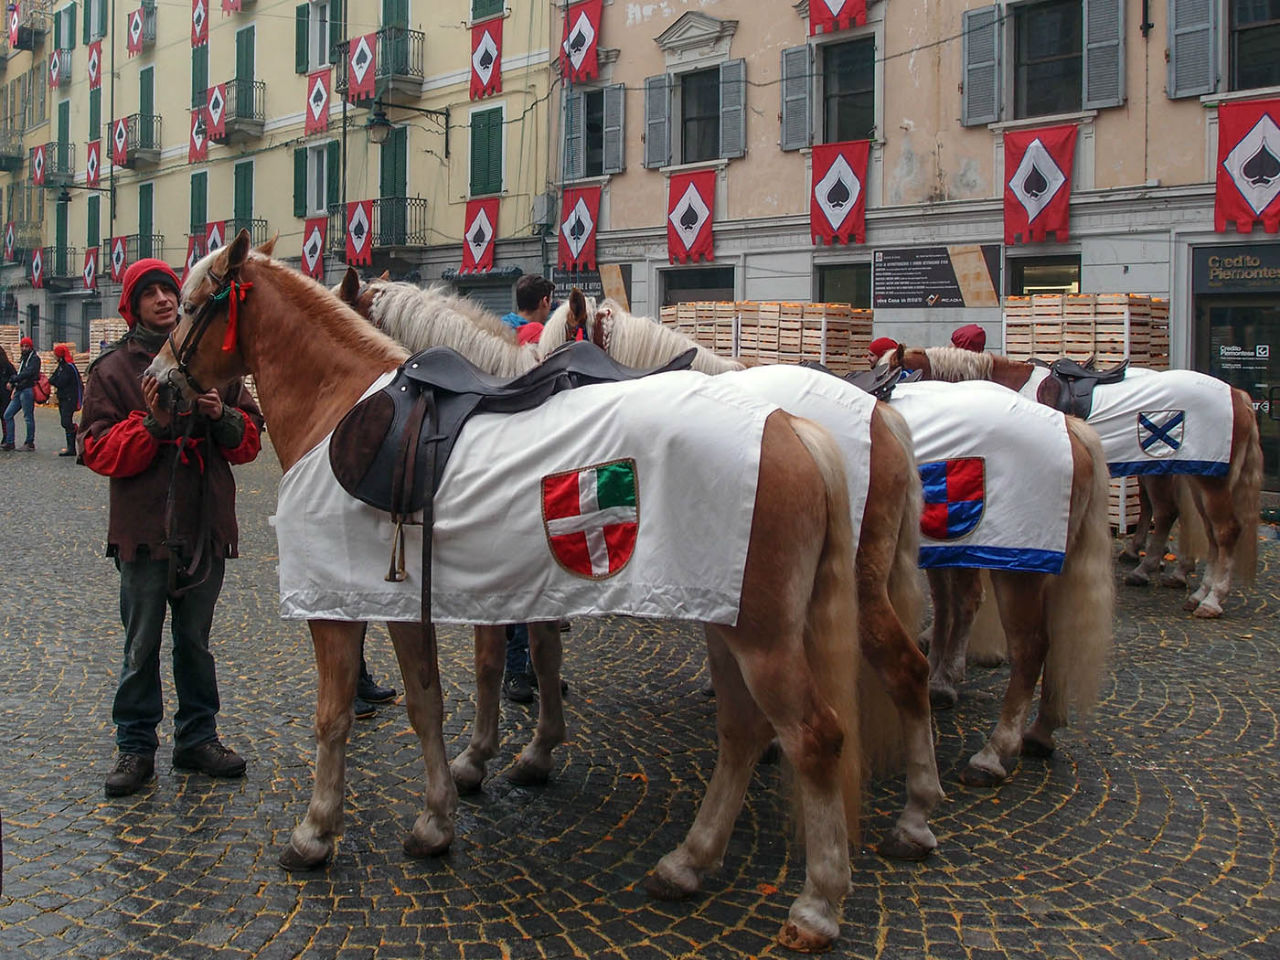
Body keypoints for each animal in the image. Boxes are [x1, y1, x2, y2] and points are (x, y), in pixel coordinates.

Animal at [147, 232, 870, 957]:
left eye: (190, 305)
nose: (156, 385)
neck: (340, 408)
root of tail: (789, 426)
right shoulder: (409, 605)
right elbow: (430, 703)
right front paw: (440, 816)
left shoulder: (337, 607)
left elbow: (336, 717)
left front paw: (316, 832)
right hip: (724, 621)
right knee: (743, 733)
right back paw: (688, 862)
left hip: (763, 640)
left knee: (816, 738)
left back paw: (817, 903)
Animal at [340, 276, 942, 865]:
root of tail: (882, 418)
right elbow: (542, 650)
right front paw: (536, 748)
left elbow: (491, 663)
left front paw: (475, 758)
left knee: (907, 669)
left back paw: (915, 816)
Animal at [885, 350, 1264, 619]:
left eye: (898, 373)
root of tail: (1238, 394)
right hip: (1192, 472)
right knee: (1193, 521)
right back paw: (1173, 578)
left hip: (1200, 475)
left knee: (1221, 528)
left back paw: (1210, 597)